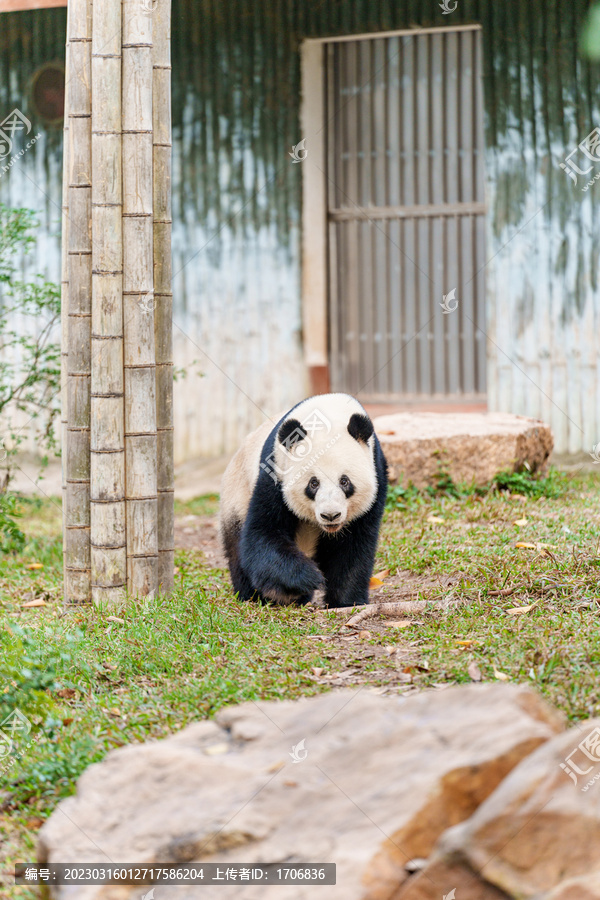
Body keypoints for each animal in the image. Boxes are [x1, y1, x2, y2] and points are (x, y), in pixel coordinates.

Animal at [220, 392, 390, 608]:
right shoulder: (275, 472)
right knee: (237, 545)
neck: (328, 414)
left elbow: (354, 547)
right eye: (313, 483)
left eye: (344, 481)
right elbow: (263, 533)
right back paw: (258, 596)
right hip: (237, 493)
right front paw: (309, 577)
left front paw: (346, 602)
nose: (330, 515)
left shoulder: (377, 470)